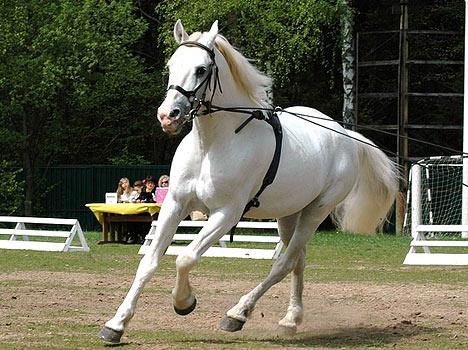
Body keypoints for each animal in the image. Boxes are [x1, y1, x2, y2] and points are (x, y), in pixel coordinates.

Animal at [98, 20, 398, 344]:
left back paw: (237, 314)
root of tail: (345, 135)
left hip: (315, 212)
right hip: (289, 214)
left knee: (283, 263)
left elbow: (185, 258)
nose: (168, 116)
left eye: (202, 69)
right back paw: (290, 320)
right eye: (171, 65)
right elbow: (149, 262)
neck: (213, 144)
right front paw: (116, 324)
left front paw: (184, 302)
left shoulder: (226, 214)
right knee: (298, 260)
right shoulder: (175, 205)